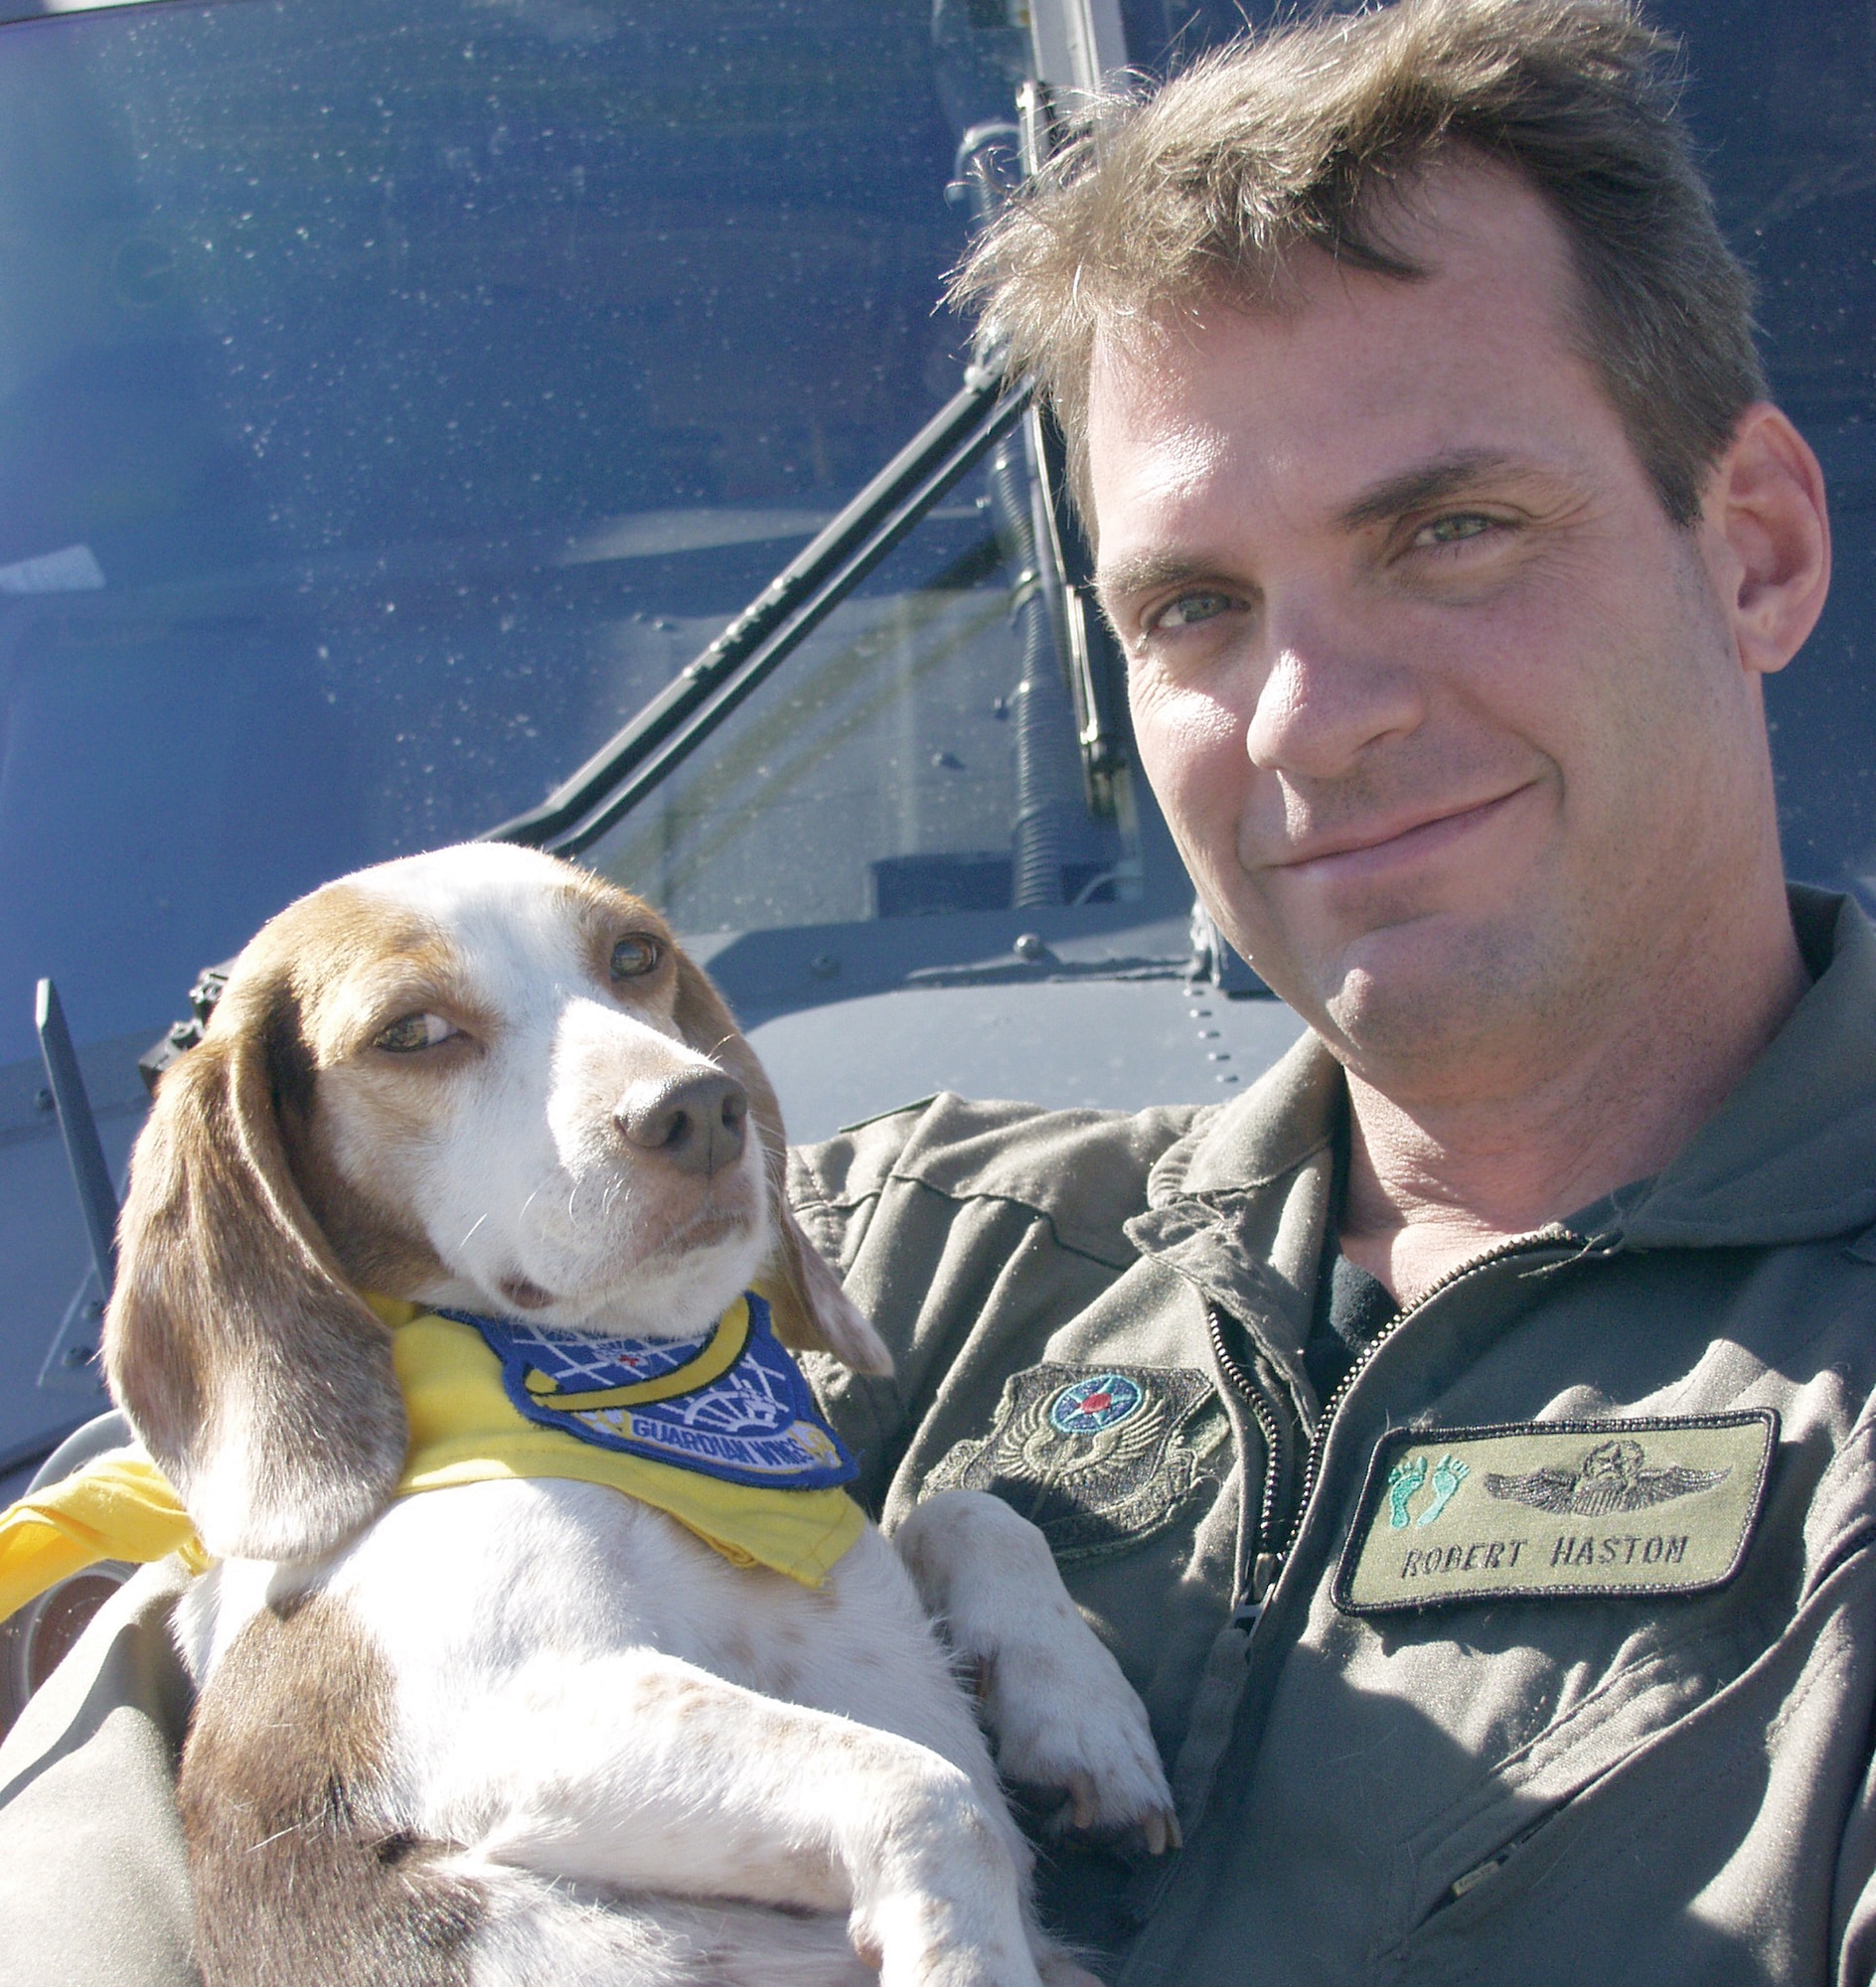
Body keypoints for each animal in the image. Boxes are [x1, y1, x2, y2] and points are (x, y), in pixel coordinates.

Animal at [106, 842, 1176, 1987]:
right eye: (412, 1032)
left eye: (635, 954)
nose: (701, 1108)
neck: (656, 1403)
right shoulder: (507, 1714)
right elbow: (929, 1790)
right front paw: (967, 1949)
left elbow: (970, 1509)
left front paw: (1082, 1710)